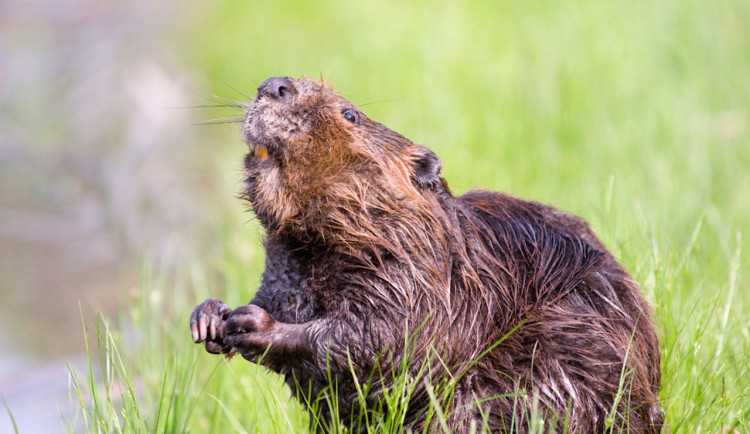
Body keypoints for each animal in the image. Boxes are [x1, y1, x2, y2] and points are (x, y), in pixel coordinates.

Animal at [192, 76, 664, 432]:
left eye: (350, 114)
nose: (275, 84)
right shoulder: (286, 268)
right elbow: (278, 298)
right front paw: (210, 316)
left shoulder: (421, 275)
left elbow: (386, 337)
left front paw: (253, 324)